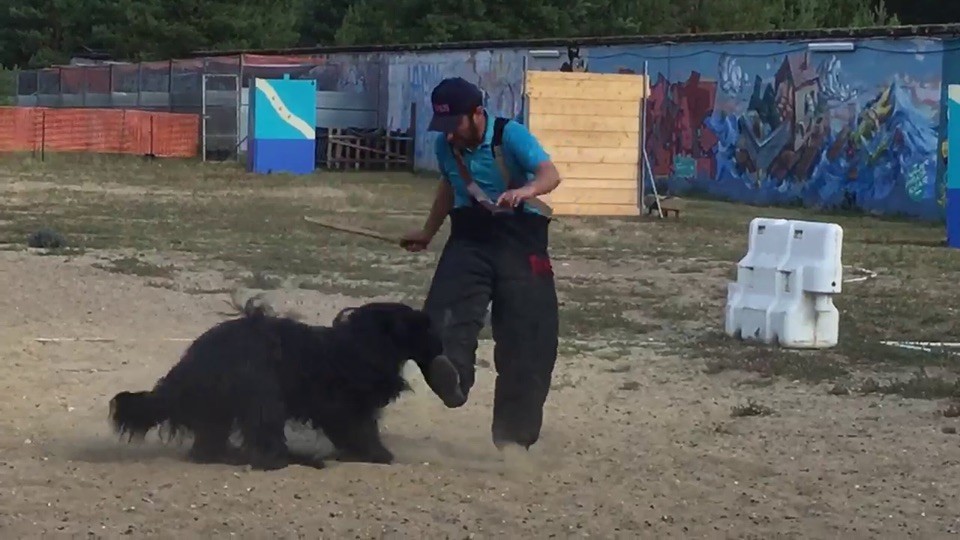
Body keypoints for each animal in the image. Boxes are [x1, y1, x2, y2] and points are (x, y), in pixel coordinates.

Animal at [107, 302, 452, 470]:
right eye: (422, 327)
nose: (440, 344)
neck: (361, 345)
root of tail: (191, 362)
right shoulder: (345, 407)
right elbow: (361, 430)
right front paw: (376, 455)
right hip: (263, 395)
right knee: (265, 450)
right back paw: (298, 460)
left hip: (222, 408)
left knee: (208, 449)